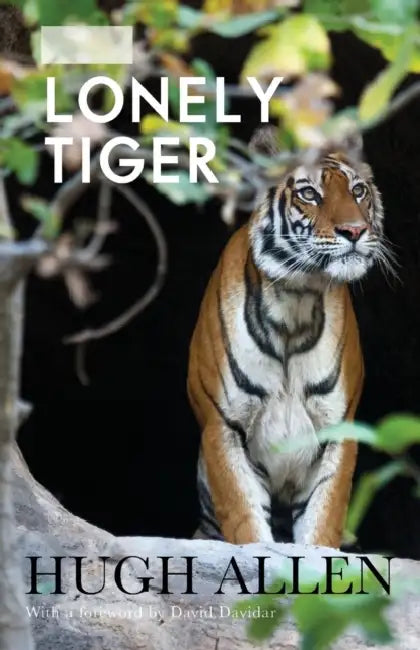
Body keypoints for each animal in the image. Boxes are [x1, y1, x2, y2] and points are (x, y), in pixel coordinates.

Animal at [187, 149, 388, 548]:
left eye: (358, 191)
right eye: (309, 194)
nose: (355, 231)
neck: (295, 303)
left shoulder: (337, 430)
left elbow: (322, 521)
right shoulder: (222, 426)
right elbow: (245, 521)